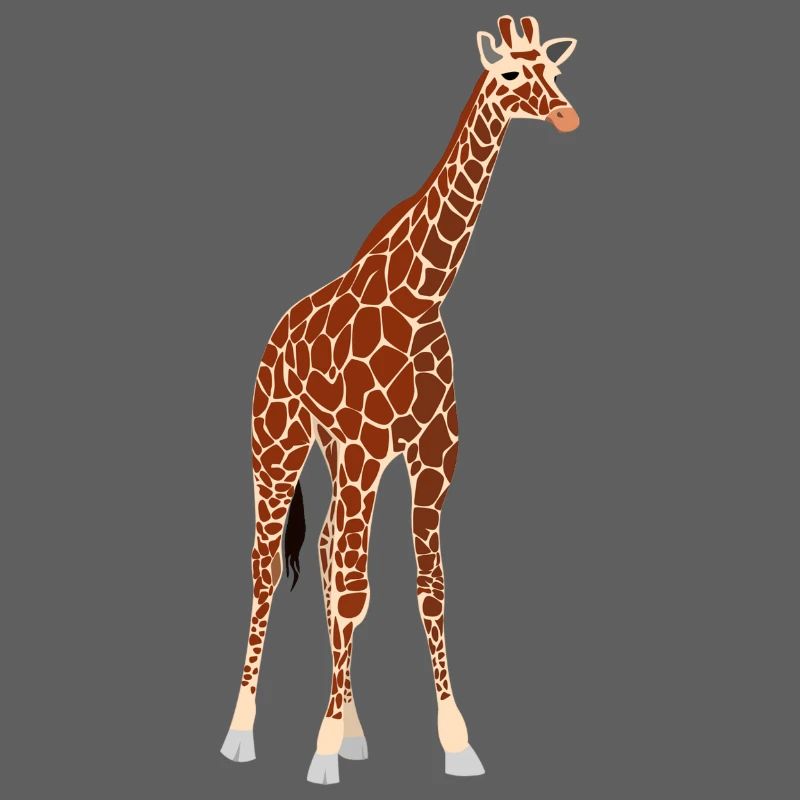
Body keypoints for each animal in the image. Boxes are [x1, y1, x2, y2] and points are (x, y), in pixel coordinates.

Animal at [220, 15, 580, 784]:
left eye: (556, 71)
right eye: (510, 74)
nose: (566, 115)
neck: (421, 298)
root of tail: (273, 338)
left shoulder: (431, 458)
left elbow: (428, 590)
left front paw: (455, 741)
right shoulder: (364, 448)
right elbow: (356, 592)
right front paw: (321, 750)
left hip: (341, 457)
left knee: (328, 550)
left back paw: (354, 729)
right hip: (279, 447)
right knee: (269, 570)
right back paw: (242, 731)